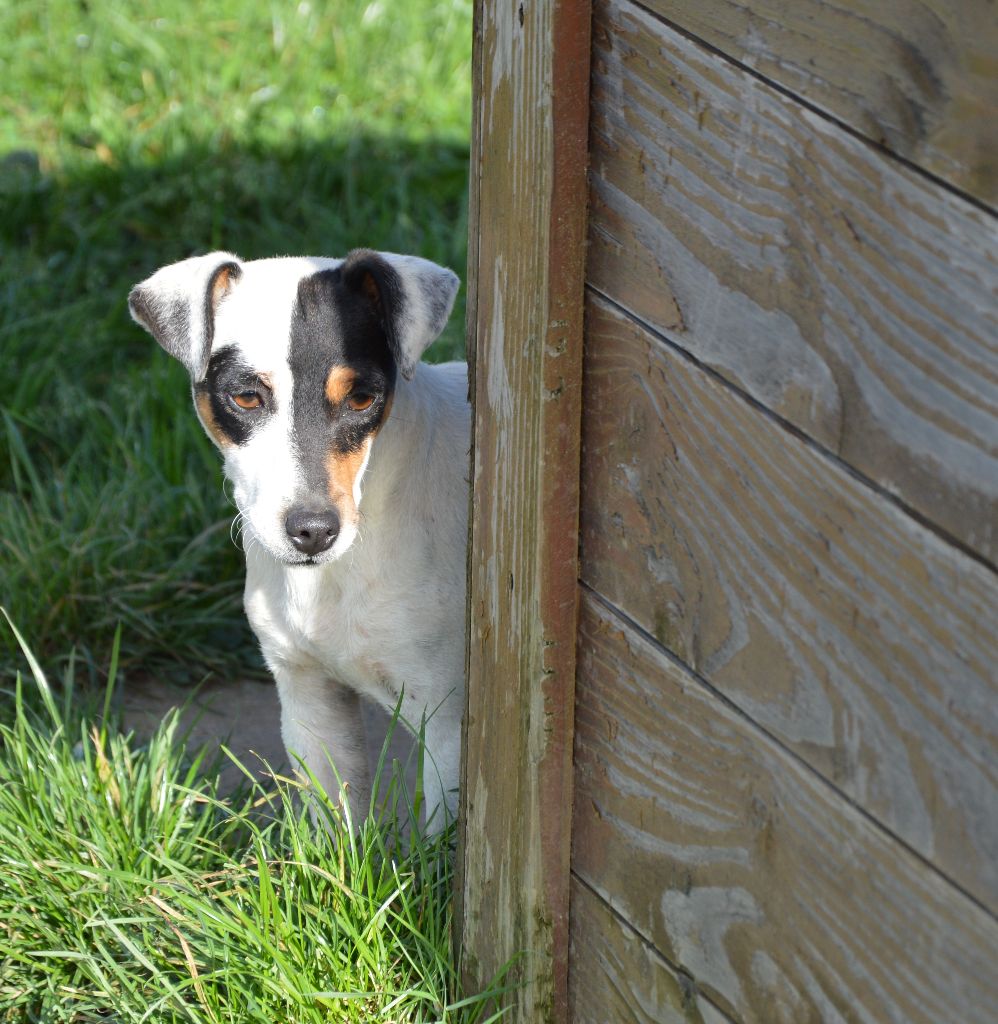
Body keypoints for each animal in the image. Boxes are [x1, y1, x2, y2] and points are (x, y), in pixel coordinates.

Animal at [128, 249, 468, 831]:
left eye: (362, 398)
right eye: (246, 396)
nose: (313, 531)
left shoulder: (447, 724)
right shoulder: (310, 699)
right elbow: (337, 832)